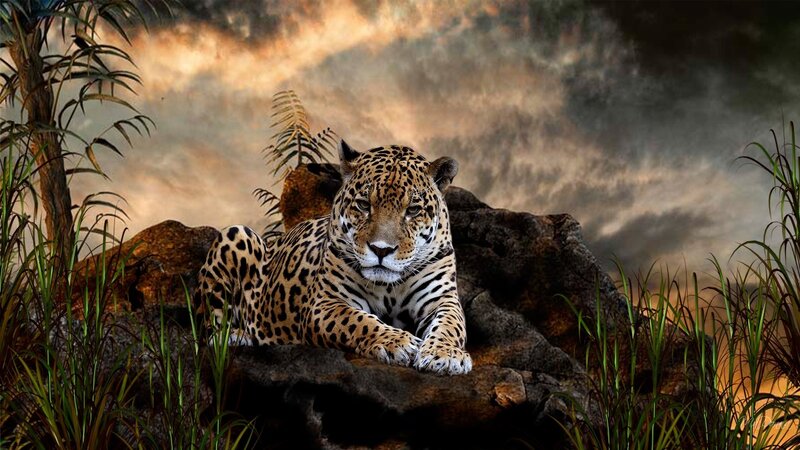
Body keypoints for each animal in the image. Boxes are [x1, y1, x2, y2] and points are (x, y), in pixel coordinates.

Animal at [193, 140, 472, 375]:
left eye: (413, 210)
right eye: (363, 205)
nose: (381, 250)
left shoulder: (442, 299)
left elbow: (451, 325)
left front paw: (445, 355)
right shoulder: (326, 304)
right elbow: (359, 321)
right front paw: (398, 342)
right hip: (236, 234)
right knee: (209, 331)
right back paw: (238, 336)